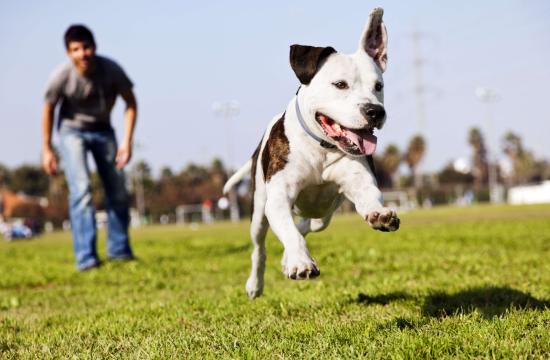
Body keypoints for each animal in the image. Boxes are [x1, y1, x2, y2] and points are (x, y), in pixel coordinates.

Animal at [224, 7, 402, 298]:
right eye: (340, 84)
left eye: (378, 86)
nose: (375, 111)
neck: (322, 147)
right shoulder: (278, 198)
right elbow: (288, 231)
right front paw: (300, 262)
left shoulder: (359, 181)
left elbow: (369, 196)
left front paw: (380, 215)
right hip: (259, 210)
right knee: (260, 246)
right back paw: (256, 283)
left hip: (324, 214)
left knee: (308, 225)